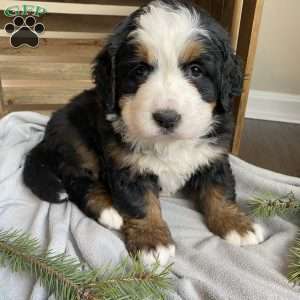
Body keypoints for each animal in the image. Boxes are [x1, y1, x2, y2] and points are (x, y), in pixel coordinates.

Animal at [23, 0, 264, 268]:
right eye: (139, 71)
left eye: (196, 70)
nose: (167, 118)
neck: (169, 144)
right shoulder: (128, 166)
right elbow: (141, 203)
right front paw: (152, 241)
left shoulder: (214, 155)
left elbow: (220, 189)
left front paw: (236, 225)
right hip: (77, 141)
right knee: (77, 181)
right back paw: (109, 211)